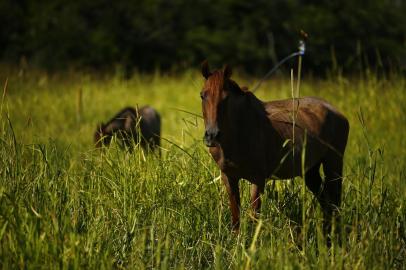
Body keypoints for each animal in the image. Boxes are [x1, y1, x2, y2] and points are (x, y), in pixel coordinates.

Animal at [200, 61, 348, 238]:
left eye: (226, 97)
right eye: (202, 95)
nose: (212, 135)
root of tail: (337, 112)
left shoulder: (258, 179)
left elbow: (253, 216)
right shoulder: (229, 177)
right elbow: (236, 218)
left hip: (333, 164)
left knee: (335, 203)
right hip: (310, 170)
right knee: (326, 203)